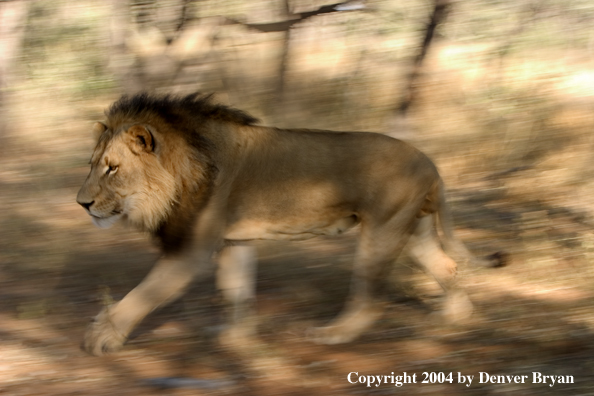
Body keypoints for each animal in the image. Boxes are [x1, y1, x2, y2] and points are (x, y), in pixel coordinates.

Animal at [75, 93, 500, 356]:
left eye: (112, 168)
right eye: (91, 165)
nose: (82, 204)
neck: (186, 162)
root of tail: (431, 164)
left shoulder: (190, 252)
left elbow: (141, 296)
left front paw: (100, 336)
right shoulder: (235, 242)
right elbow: (237, 292)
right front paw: (238, 340)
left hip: (383, 230)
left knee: (369, 297)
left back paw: (334, 333)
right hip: (414, 229)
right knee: (447, 266)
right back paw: (455, 317)